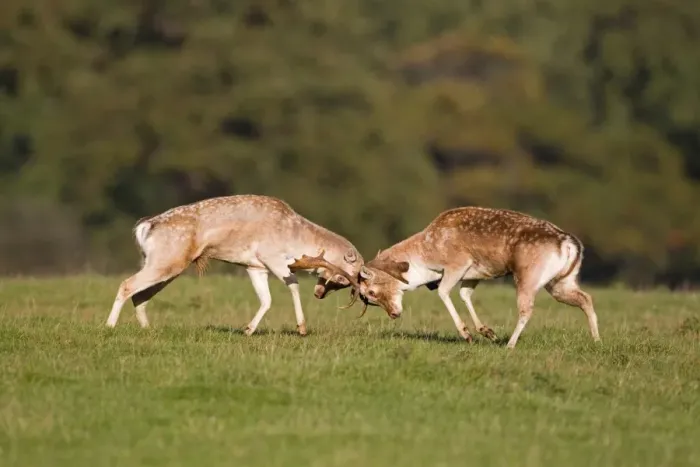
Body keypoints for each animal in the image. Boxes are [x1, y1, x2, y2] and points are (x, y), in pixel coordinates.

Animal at [105, 195, 364, 336]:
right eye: (355, 269)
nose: (319, 293)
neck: (295, 237)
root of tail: (145, 226)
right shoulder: (271, 257)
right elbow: (293, 286)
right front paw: (301, 328)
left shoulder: (255, 266)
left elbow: (266, 299)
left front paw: (248, 330)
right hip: (167, 261)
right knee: (127, 285)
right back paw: (109, 326)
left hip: (165, 265)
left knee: (140, 296)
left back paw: (148, 330)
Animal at [350, 206, 600, 348]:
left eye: (370, 291)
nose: (394, 314)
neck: (427, 256)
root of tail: (570, 243)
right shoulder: (474, 274)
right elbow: (464, 294)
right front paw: (487, 332)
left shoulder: (457, 264)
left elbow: (444, 292)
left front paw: (467, 335)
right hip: (560, 282)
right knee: (585, 298)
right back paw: (597, 341)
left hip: (528, 277)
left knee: (526, 309)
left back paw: (509, 345)